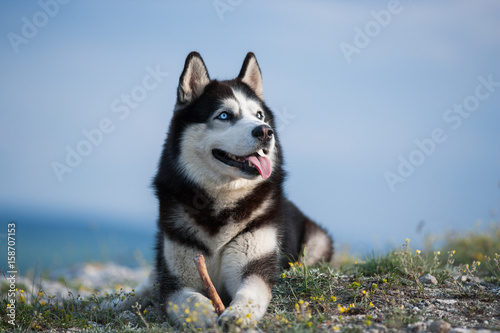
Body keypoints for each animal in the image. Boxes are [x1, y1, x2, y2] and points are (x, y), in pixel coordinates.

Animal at [129, 52, 334, 326]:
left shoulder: (254, 267)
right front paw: (205, 315)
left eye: (259, 115)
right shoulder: (176, 281)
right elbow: (189, 300)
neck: (220, 203)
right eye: (224, 115)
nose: (265, 131)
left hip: (316, 242)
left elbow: (250, 293)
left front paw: (236, 315)